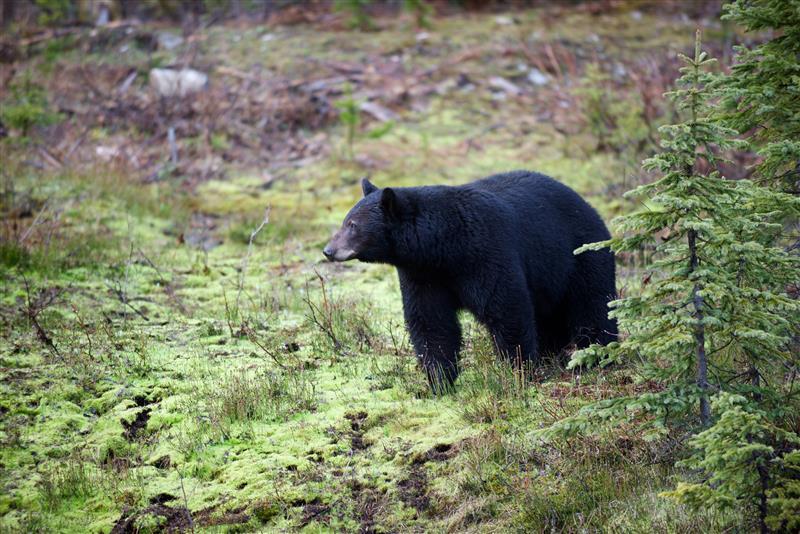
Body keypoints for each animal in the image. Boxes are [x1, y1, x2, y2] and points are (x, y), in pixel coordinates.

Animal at [324, 172, 620, 394]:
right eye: (346, 221)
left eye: (352, 225)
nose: (328, 250)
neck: (443, 246)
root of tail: (589, 206)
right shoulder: (422, 274)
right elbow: (430, 322)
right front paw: (438, 381)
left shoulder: (486, 253)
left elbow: (506, 308)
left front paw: (519, 371)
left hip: (580, 254)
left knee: (592, 305)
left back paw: (595, 354)